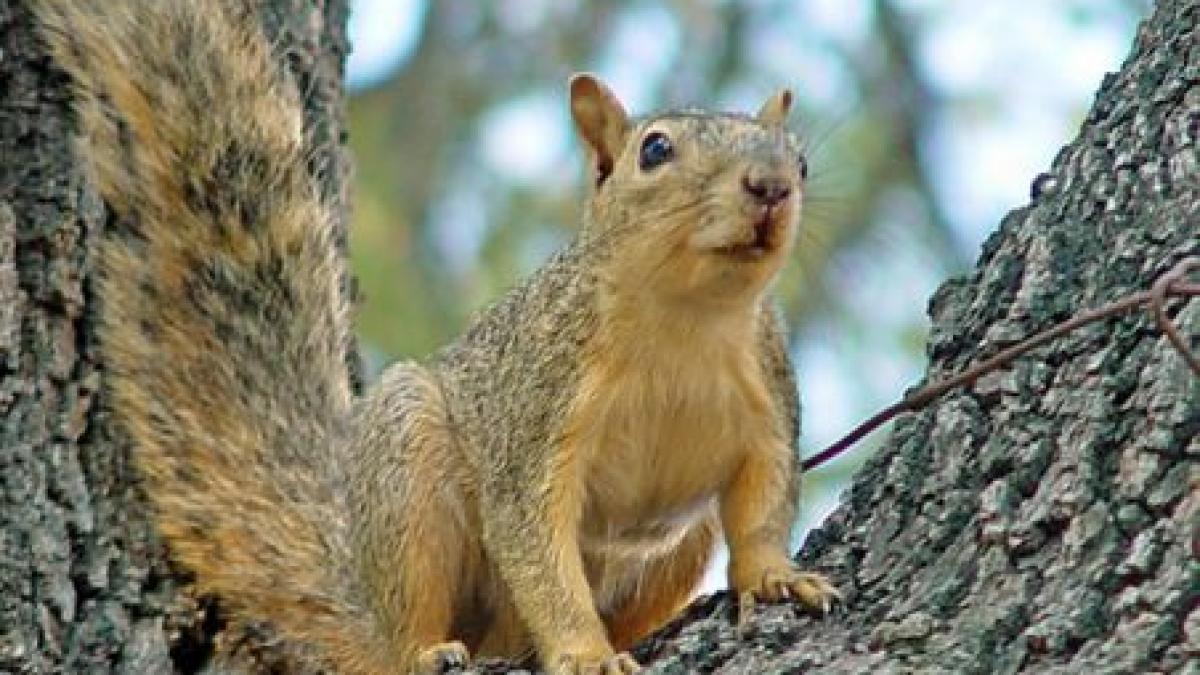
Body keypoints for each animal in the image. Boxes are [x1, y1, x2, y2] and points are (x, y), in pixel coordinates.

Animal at [37, 0, 840, 667]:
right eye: (655, 151)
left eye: (801, 160)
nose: (772, 187)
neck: (686, 318)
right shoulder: (539, 411)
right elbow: (536, 544)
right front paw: (584, 653)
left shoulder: (769, 398)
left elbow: (764, 500)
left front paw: (776, 577)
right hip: (408, 459)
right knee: (411, 622)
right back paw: (425, 649)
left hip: (676, 542)